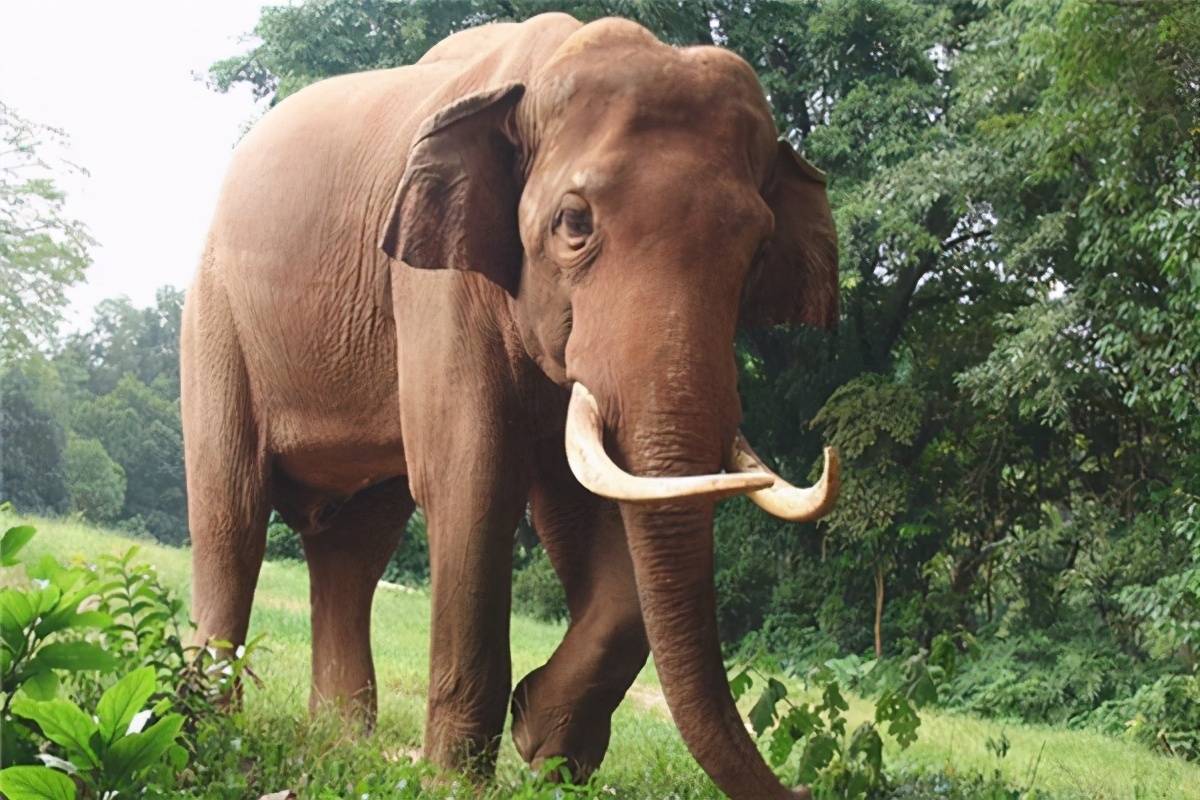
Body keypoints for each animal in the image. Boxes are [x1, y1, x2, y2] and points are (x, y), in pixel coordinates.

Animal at [180, 12, 840, 800]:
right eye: (574, 223)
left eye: (758, 250)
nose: (805, 789)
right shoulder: (434, 284)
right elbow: (472, 480)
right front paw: (459, 779)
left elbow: (587, 506)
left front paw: (549, 744)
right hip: (214, 321)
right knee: (231, 514)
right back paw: (211, 729)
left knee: (352, 546)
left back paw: (342, 743)